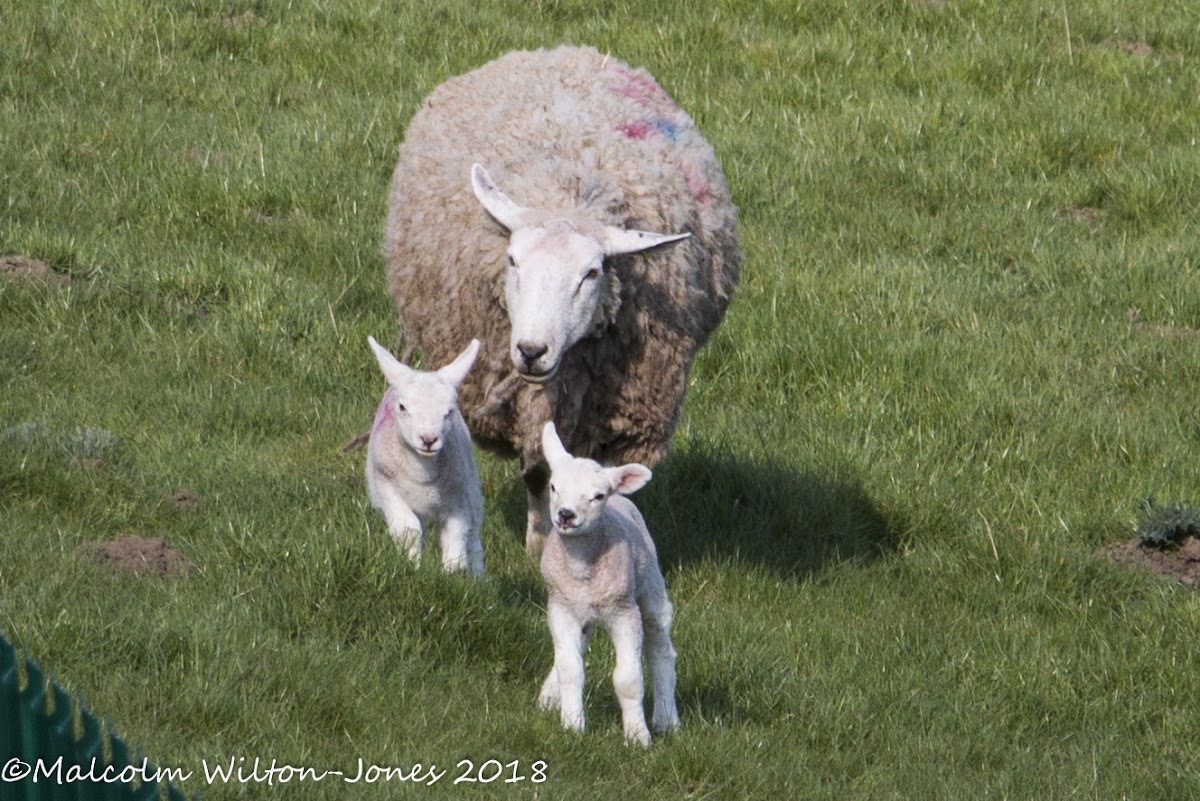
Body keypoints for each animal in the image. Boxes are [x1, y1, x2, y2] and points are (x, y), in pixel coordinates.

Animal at [364, 335, 482, 575]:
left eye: (449, 411)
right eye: (402, 407)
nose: (428, 439)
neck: (422, 476)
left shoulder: (457, 496)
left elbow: (456, 535)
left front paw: (452, 573)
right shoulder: (387, 487)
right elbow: (409, 530)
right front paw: (413, 566)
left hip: (471, 485)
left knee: (474, 534)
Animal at [384, 43, 739, 556]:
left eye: (591, 274)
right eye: (512, 261)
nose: (532, 351)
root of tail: (563, 50)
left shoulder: (612, 414)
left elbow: (599, 477)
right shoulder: (527, 406)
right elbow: (539, 471)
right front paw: (537, 544)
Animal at [540, 419, 681, 743]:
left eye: (597, 496)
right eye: (553, 487)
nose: (565, 515)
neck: (581, 568)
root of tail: (622, 496)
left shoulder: (623, 611)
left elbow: (628, 678)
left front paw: (637, 736)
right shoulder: (561, 608)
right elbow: (571, 668)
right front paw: (572, 724)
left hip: (650, 586)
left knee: (661, 648)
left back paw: (667, 719)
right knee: (578, 646)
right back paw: (550, 696)